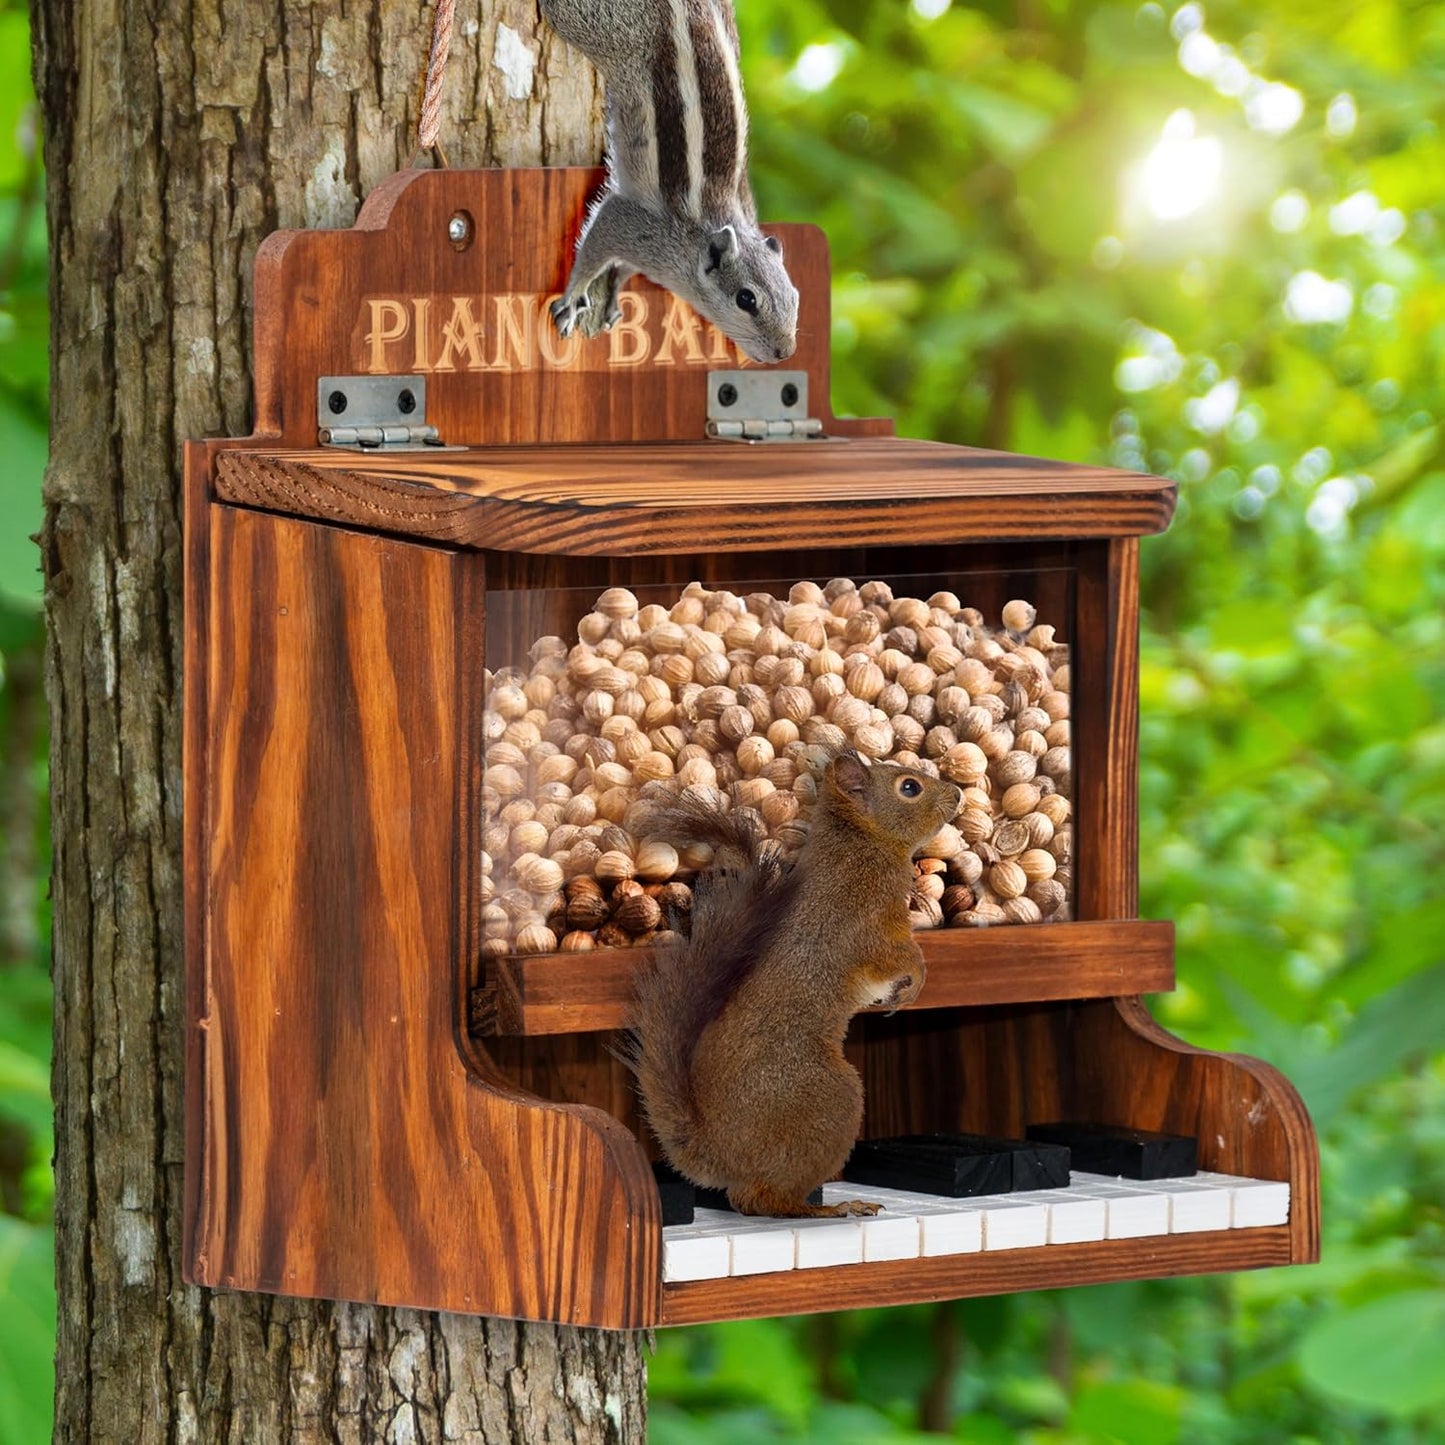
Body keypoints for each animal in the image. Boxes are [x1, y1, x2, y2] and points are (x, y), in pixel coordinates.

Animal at [536, 0, 800, 364]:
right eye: (746, 299)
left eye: (795, 297)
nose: (785, 352)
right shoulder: (634, 226)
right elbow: (593, 250)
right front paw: (575, 296)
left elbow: (622, 268)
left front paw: (615, 289)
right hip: (592, 26)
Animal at [627, 753, 964, 1218]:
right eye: (909, 787)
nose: (958, 794)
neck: (859, 845)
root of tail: (720, 1152)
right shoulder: (871, 926)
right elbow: (898, 956)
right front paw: (914, 982)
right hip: (832, 1101)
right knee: (759, 1199)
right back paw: (829, 1208)